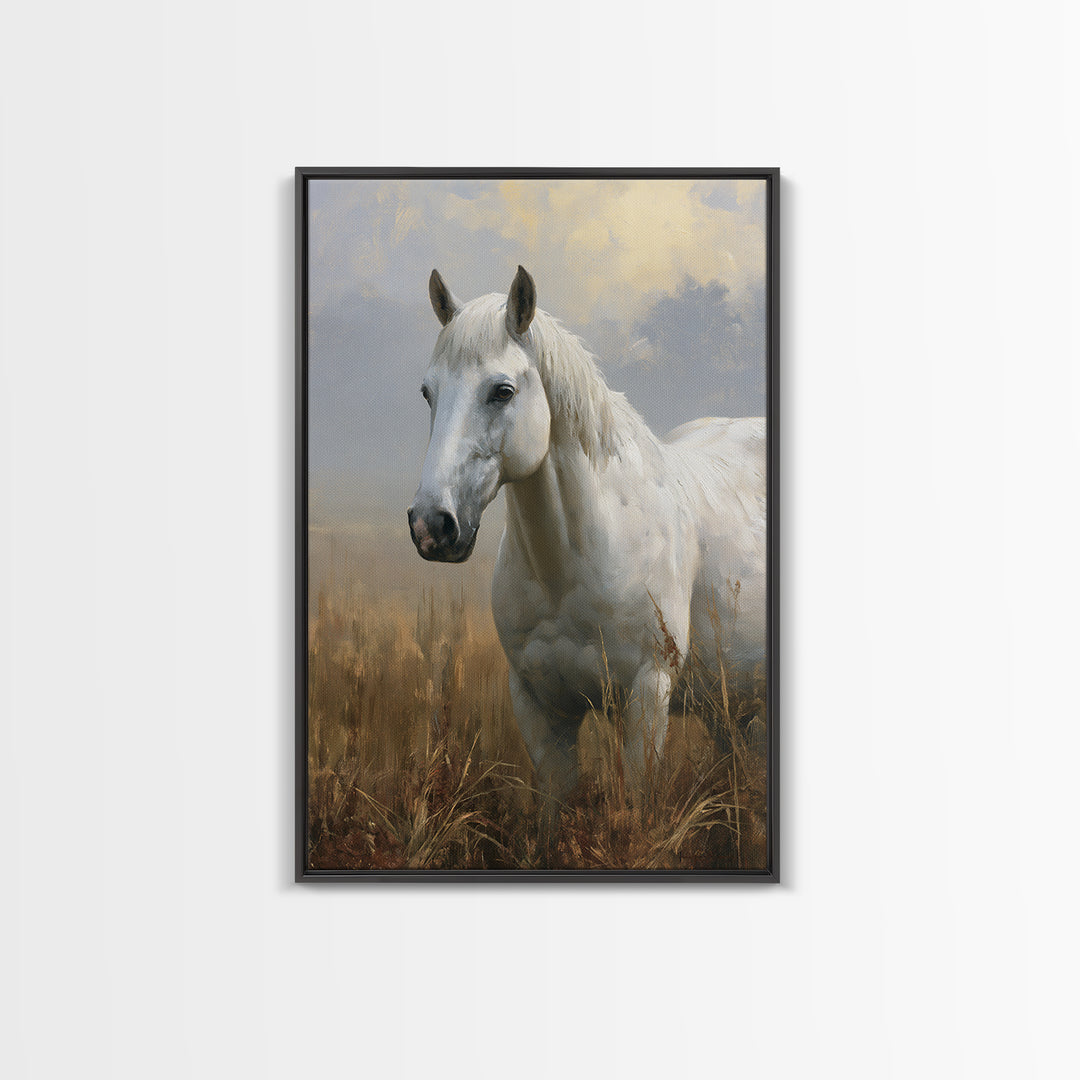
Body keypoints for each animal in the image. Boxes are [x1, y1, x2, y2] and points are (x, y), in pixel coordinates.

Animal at [408, 266, 766, 803]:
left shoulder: (647, 696)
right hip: (729, 707)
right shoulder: (539, 705)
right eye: (428, 392)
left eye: (502, 391)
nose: (431, 525)